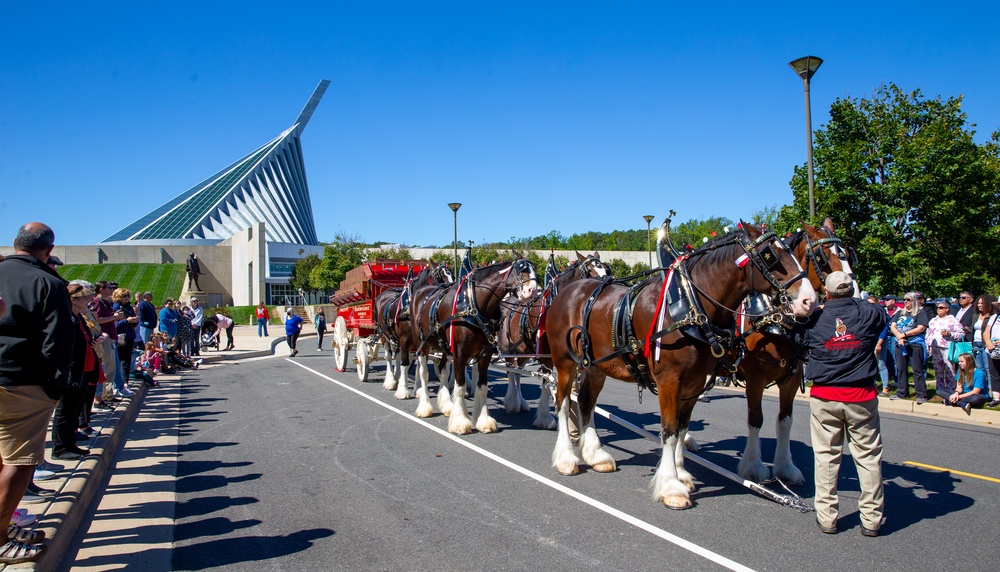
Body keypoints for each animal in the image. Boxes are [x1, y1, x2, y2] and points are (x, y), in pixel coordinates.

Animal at [406, 260, 536, 434]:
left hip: (445, 347)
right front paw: (460, 422)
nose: (533, 291)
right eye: (522, 270)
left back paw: (446, 405)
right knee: (424, 372)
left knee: (443, 371)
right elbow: (460, 386)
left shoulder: (485, 355)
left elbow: (482, 386)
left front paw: (483, 420)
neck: (474, 306)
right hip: (423, 344)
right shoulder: (460, 355)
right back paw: (424, 406)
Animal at [544, 223, 816, 510]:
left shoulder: (694, 382)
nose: (809, 300)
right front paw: (671, 486)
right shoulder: (670, 380)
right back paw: (566, 458)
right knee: (563, 402)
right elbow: (670, 429)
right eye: (769, 255)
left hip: (595, 367)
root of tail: (568, 291)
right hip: (564, 364)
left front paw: (680, 473)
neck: (689, 306)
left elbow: (683, 426)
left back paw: (595, 454)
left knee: (585, 402)